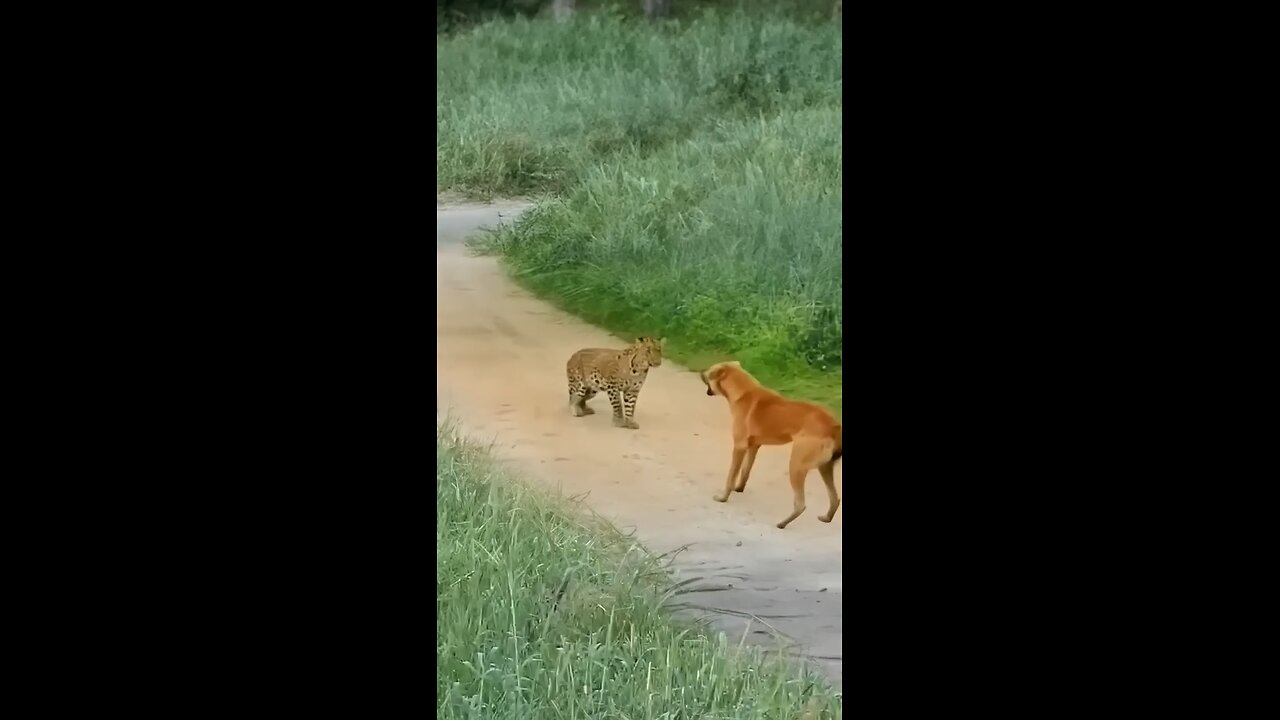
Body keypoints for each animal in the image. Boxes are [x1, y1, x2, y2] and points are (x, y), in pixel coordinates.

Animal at [701, 361, 839, 525]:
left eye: (709, 372)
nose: (701, 372)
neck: (743, 392)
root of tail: (833, 426)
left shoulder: (739, 446)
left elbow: (731, 476)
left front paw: (723, 497)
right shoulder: (754, 446)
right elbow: (745, 471)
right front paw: (739, 488)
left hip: (797, 465)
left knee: (801, 504)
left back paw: (782, 524)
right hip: (825, 467)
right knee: (835, 498)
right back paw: (827, 518)